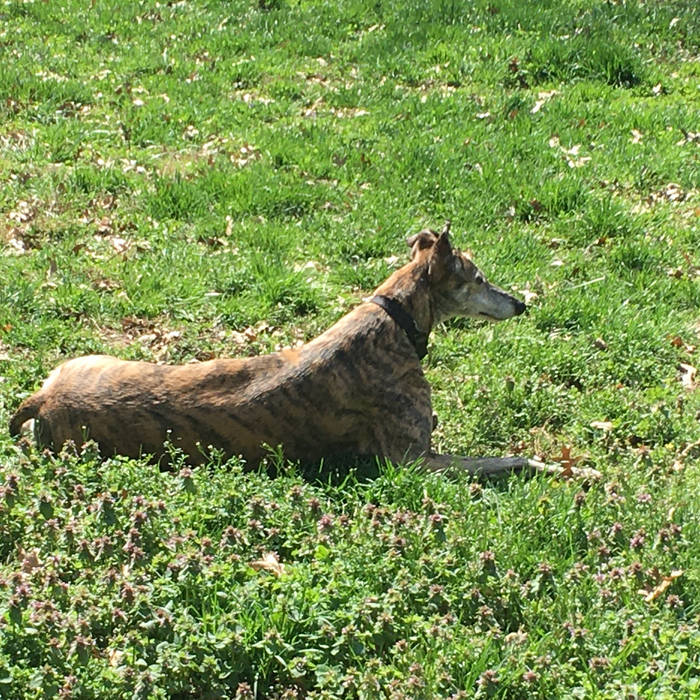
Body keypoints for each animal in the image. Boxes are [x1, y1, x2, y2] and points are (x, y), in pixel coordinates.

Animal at [9, 223, 598, 479]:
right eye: (478, 279)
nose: (521, 304)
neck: (392, 321)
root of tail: (42, 399)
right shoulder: (416, 462)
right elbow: (513, 458)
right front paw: (571, 469)